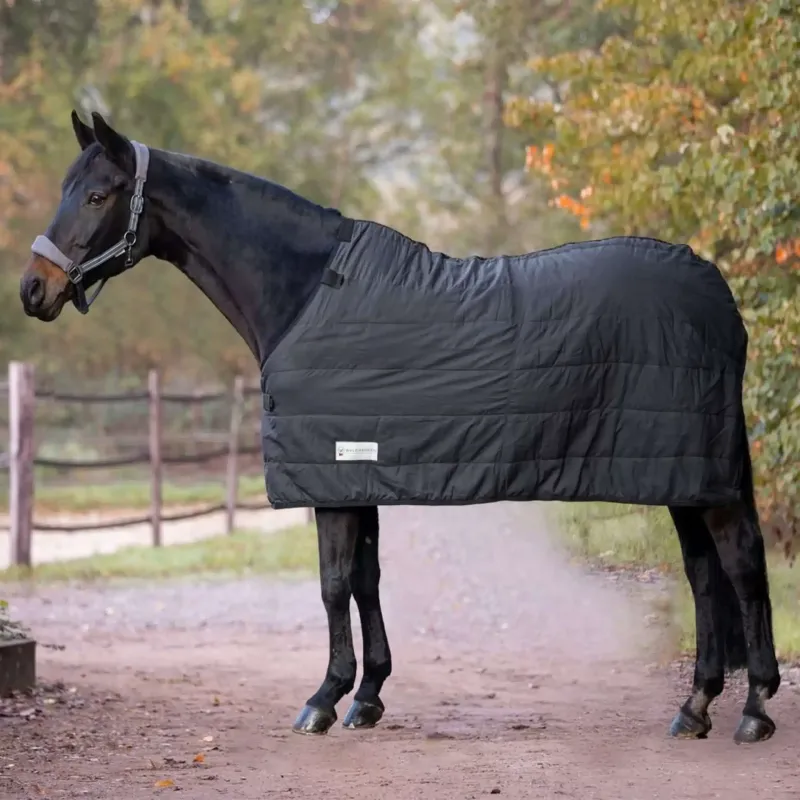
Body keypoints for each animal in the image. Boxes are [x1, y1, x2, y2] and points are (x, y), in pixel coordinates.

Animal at [19, 111, 780, 744]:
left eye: (98, 196)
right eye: (65, 187)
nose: (34, 290)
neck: (305, 294)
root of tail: (716, 291)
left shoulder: (329, 475)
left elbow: (332, 584)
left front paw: (323, 700)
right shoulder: (356, 473)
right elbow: (366, 579)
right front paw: (367, 697)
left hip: (697, 475)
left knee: (740, 565)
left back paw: (753, 710)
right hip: (682, 475)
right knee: (703, 573)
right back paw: (696, 707)